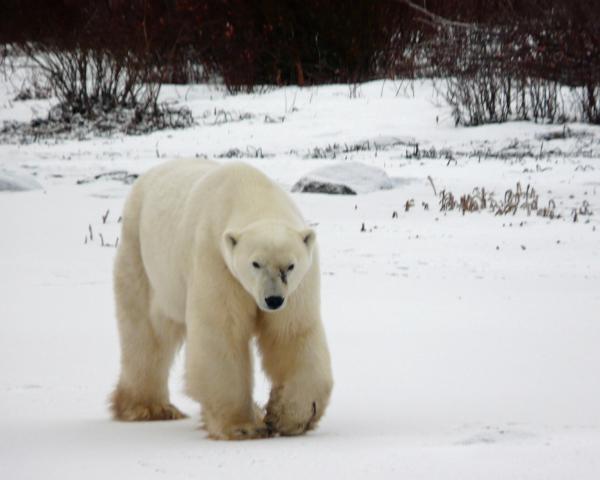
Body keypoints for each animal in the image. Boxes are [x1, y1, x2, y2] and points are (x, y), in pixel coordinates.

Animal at [110, 158, 336, 438]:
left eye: (290, 266)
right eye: (255, 263)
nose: (273, 300)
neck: (251, 192)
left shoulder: (298, 286)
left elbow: (292, 333)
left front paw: (289, 416)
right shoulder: (216, 261)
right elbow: (221, 333)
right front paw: (243, 426)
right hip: (141, 256)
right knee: (146, 332)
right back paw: (148, 408)